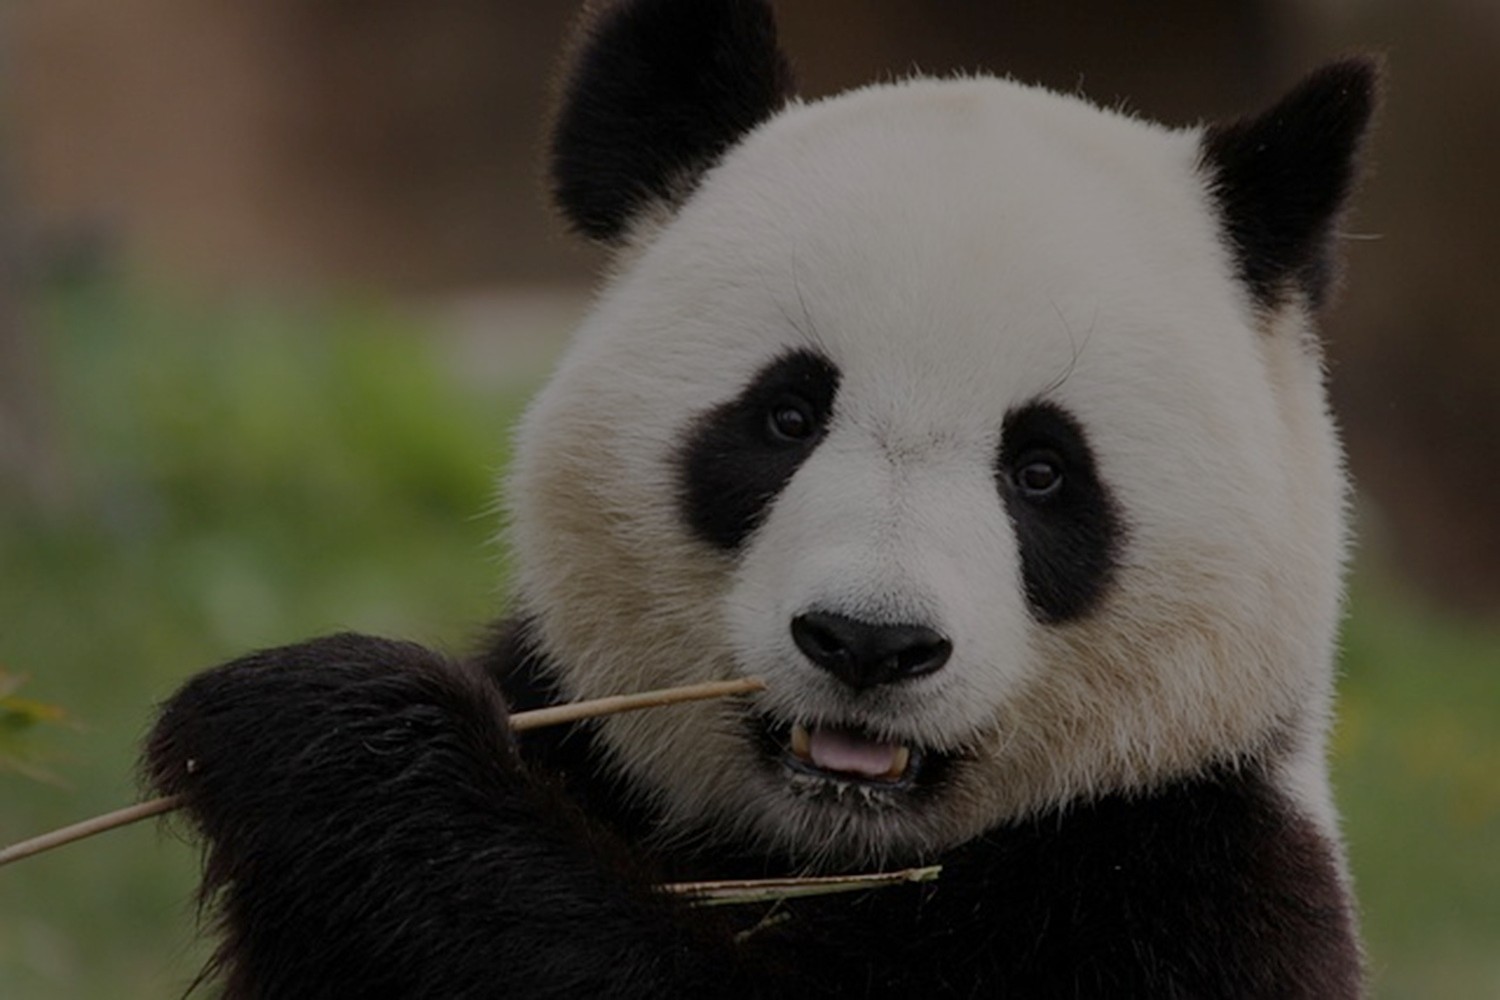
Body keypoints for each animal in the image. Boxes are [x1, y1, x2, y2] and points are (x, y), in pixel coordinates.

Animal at [144, 0, 1377, 996]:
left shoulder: (1178, 893)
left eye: (1042, 470)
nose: (869, 642)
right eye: (787, 416)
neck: (824, 851)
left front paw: (320, 724)